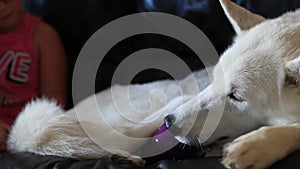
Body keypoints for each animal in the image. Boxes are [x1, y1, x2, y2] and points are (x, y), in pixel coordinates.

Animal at [7, 0, 300, 169]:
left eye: (237, 97)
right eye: (215, 79)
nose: (169, 122)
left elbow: (293, 129)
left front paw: (259, 144)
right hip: (158, 103)